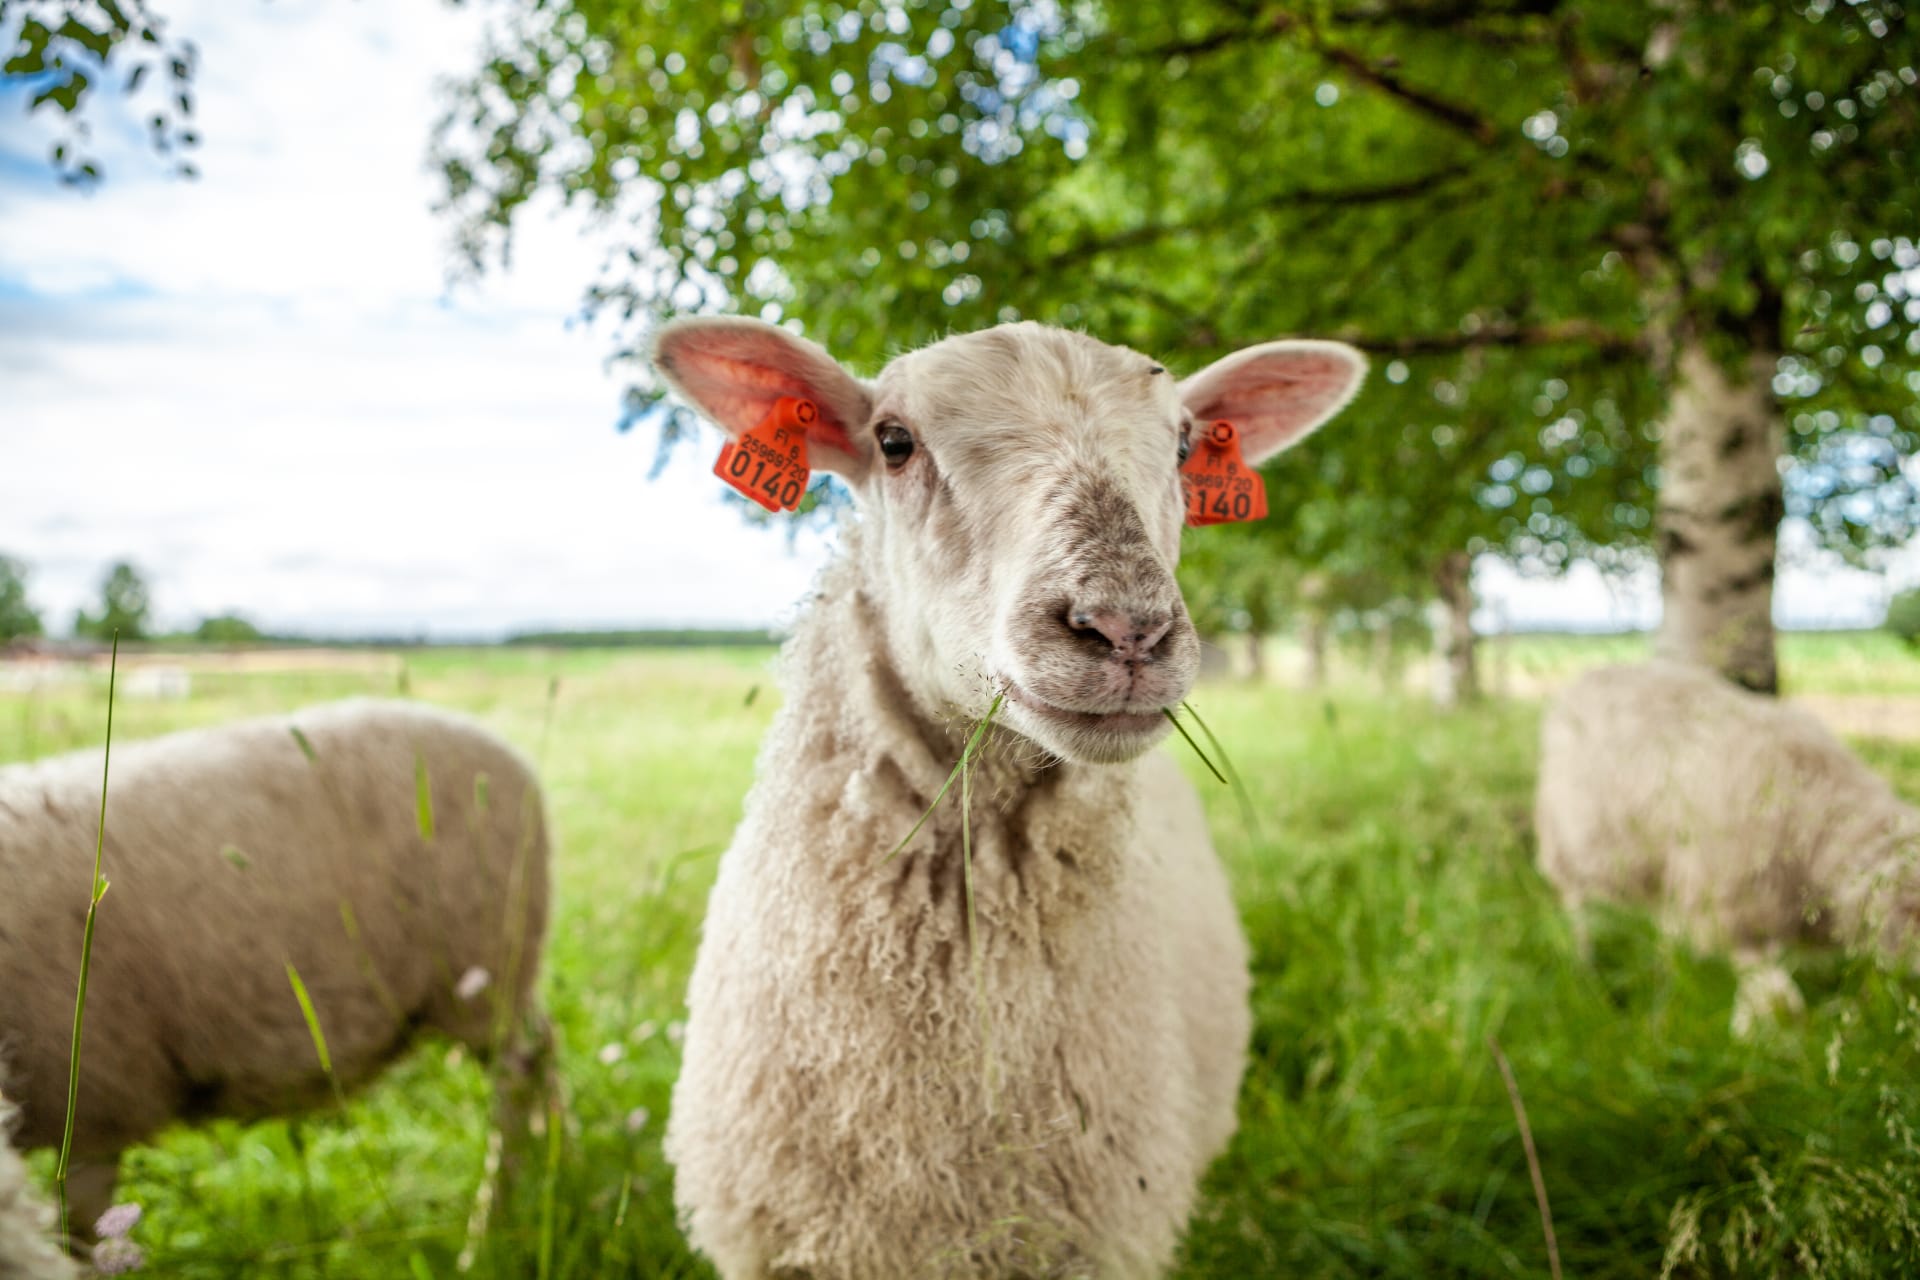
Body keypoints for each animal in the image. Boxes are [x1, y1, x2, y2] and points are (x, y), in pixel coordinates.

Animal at [1, 702, 556, 1243]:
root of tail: (511, 754)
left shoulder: (96, 1105)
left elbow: (82, 1230)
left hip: (484, 971)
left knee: (521, 1075)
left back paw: (495, 1220)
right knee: (545, 1053)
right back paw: (556, 1167)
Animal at [1536, 660, 1920, 1028]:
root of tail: (1589, 674)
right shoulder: (1734, 897)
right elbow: (1754, 966)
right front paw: (1759, 1026)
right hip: (1575, 837)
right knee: (1573, 899)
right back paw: (1583, 959)